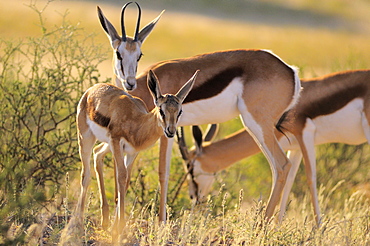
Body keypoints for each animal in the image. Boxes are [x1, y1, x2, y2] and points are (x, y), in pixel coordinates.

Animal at [72, 69, 198, 242]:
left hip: (106, 145)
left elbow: (125, 182)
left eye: (179, 111)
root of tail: (92, 90)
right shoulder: (116, 142)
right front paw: (119, 230)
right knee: (85, 174)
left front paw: (117, 227)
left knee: (97, 154)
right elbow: (121, 177)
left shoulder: (132, 152)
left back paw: (105, 220)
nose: (171, 131)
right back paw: (78, 221)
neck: (137, 122)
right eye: (161, 110)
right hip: (86, 137)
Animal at [94, 48, 302, 223]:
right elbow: (111, 163)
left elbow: (162, 173)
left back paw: (261, 227)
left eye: (192, 170)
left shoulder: (161, 134)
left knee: (282, 165)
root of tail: (290, 71)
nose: (194, 197)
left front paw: (161, 223)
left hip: (257, 125)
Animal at [176, 68, 370, 225]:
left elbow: (310, 179)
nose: (193, 196)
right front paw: (277, 228)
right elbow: (290, 181)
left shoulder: (305, 134)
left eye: (190, 168)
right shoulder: (295, 148)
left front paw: (318, 231)